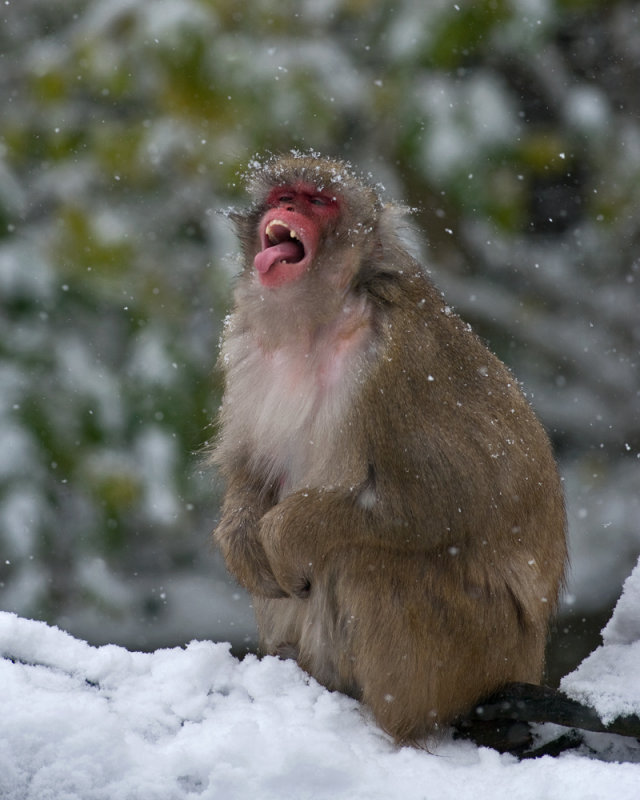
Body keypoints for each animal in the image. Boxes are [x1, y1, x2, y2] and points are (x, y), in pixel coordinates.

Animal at [212, 152, 568, 744]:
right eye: (284, 195)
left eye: (318, 200)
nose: (288, 210)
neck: (316, 323)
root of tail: (527, 659)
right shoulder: (246, 346)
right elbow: (252, 471)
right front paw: (241, 541)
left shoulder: (400, 367)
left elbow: (442, 500)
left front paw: (283, 534)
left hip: (478, 648)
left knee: (361, 559)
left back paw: (393, 720)